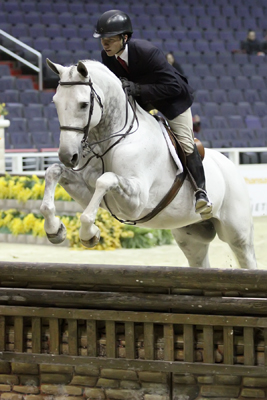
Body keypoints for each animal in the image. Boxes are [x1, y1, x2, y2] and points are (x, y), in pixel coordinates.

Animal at [40, 59, 258, 270]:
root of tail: (229, 164)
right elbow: (53, 171)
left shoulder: (136, 201)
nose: (68, 156)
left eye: (84, 104)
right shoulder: (87, 191)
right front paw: (55, 229)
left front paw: (88, 234)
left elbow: (105, 180)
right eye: (55, 102)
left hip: (237, 234)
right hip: (190, 235)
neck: (113, 140)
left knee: (248, 259)